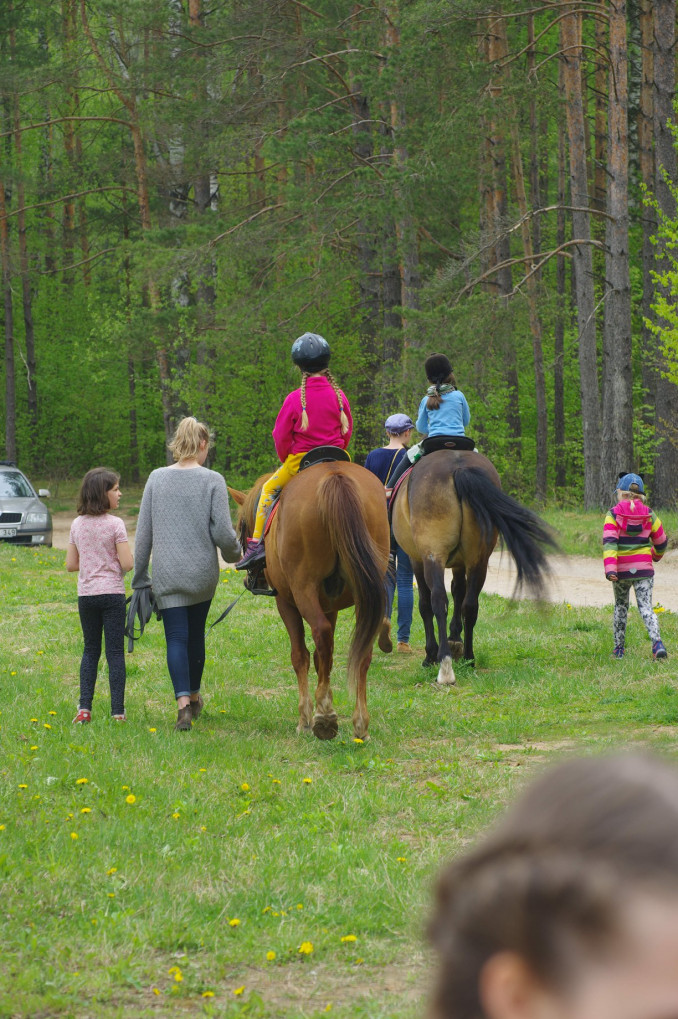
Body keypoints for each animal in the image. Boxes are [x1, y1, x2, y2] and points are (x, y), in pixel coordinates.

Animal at [228, 462, 389, 741]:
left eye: (241, 529)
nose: (251, 580)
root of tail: (336, 476)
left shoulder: (286, 603)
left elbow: (300, 655)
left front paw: (304, 717)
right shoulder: (330, 606)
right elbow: (324, 656)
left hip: (303, 589)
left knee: (320, 634)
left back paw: (324, 714)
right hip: (367, 596)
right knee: (361, 650)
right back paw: (360, 721)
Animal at [391, 448, 554, 680]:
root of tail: (458, 467)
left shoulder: (417, 560)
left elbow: (425, 605)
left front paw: (431, 654)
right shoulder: (460, 564)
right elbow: (458, 592)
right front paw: (455, 638)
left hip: (434, 556)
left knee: (438, 600)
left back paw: (444, 664)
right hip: (479, 560)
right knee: (470, 605)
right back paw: (469, 657)